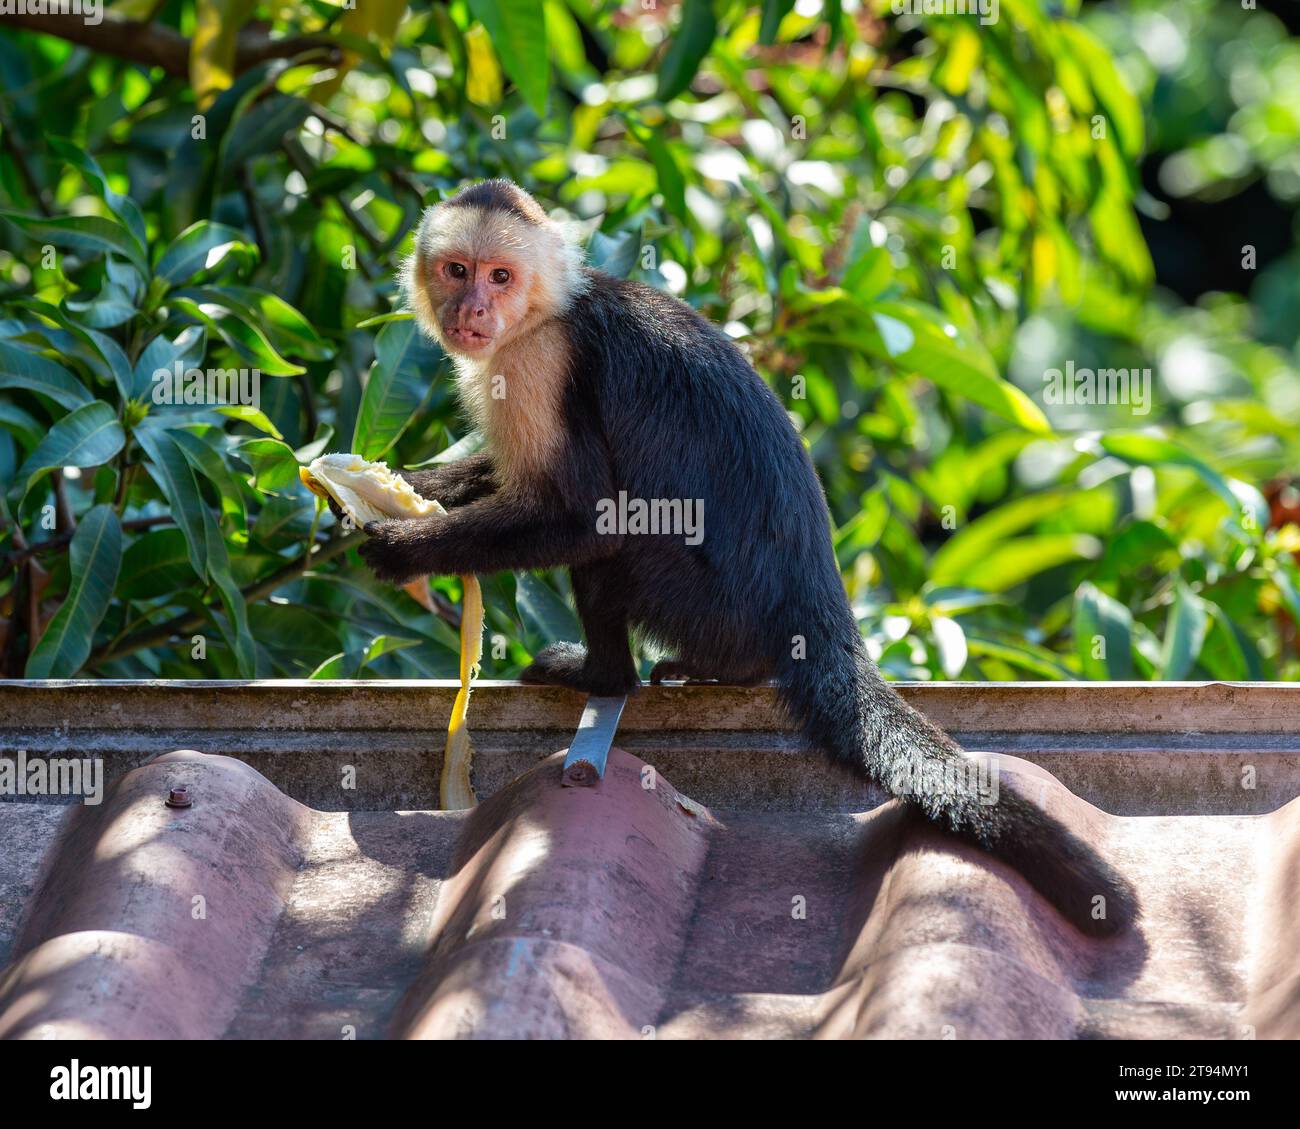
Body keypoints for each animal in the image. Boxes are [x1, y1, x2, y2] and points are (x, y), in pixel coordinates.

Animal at [358, 178, 1139, 938]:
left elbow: (586, 518)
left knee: (617, 548)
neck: (545, 311)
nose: (474, 308)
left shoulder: (539, 363)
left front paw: (404, 550)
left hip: (698, 599)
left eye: (500, 275)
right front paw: (400, 487)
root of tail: (822, 611)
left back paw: (604, 674)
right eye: (456, 271)